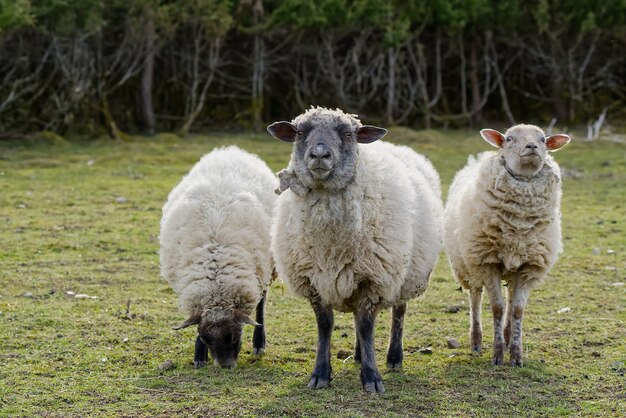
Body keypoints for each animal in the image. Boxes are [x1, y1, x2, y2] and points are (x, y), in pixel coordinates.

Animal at [160, 146, 276, 370]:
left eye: (234, 336)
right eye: (205, 339)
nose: (225, 366)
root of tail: (231, 150)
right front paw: (199, 356)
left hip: (266, 268)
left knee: (261, 304)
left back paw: (259, 343)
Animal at [266, 107, 442, 392]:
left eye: (348, 134)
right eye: (300, 132)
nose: (319, 154)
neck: (330, 247)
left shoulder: (374, 278)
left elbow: (367, 324)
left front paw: (372, 377)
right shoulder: (313, 280)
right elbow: (326, 325)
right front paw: (320, 374)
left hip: (406, 273)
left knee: (397, 313)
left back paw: (394, 357)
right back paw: (359, 355)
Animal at [442, 123, 568, 366]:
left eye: (543, 139)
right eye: (509, 138)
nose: (532, 146)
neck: (519, 222)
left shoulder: (529, 267)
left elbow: (517, 310)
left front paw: (516, 355)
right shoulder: (487, 263)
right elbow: (497, 308)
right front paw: (498, 354)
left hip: (513, 267)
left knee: (510, 297)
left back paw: (509, 338)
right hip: (468, 264)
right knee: (475, 297)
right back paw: (476, 342)